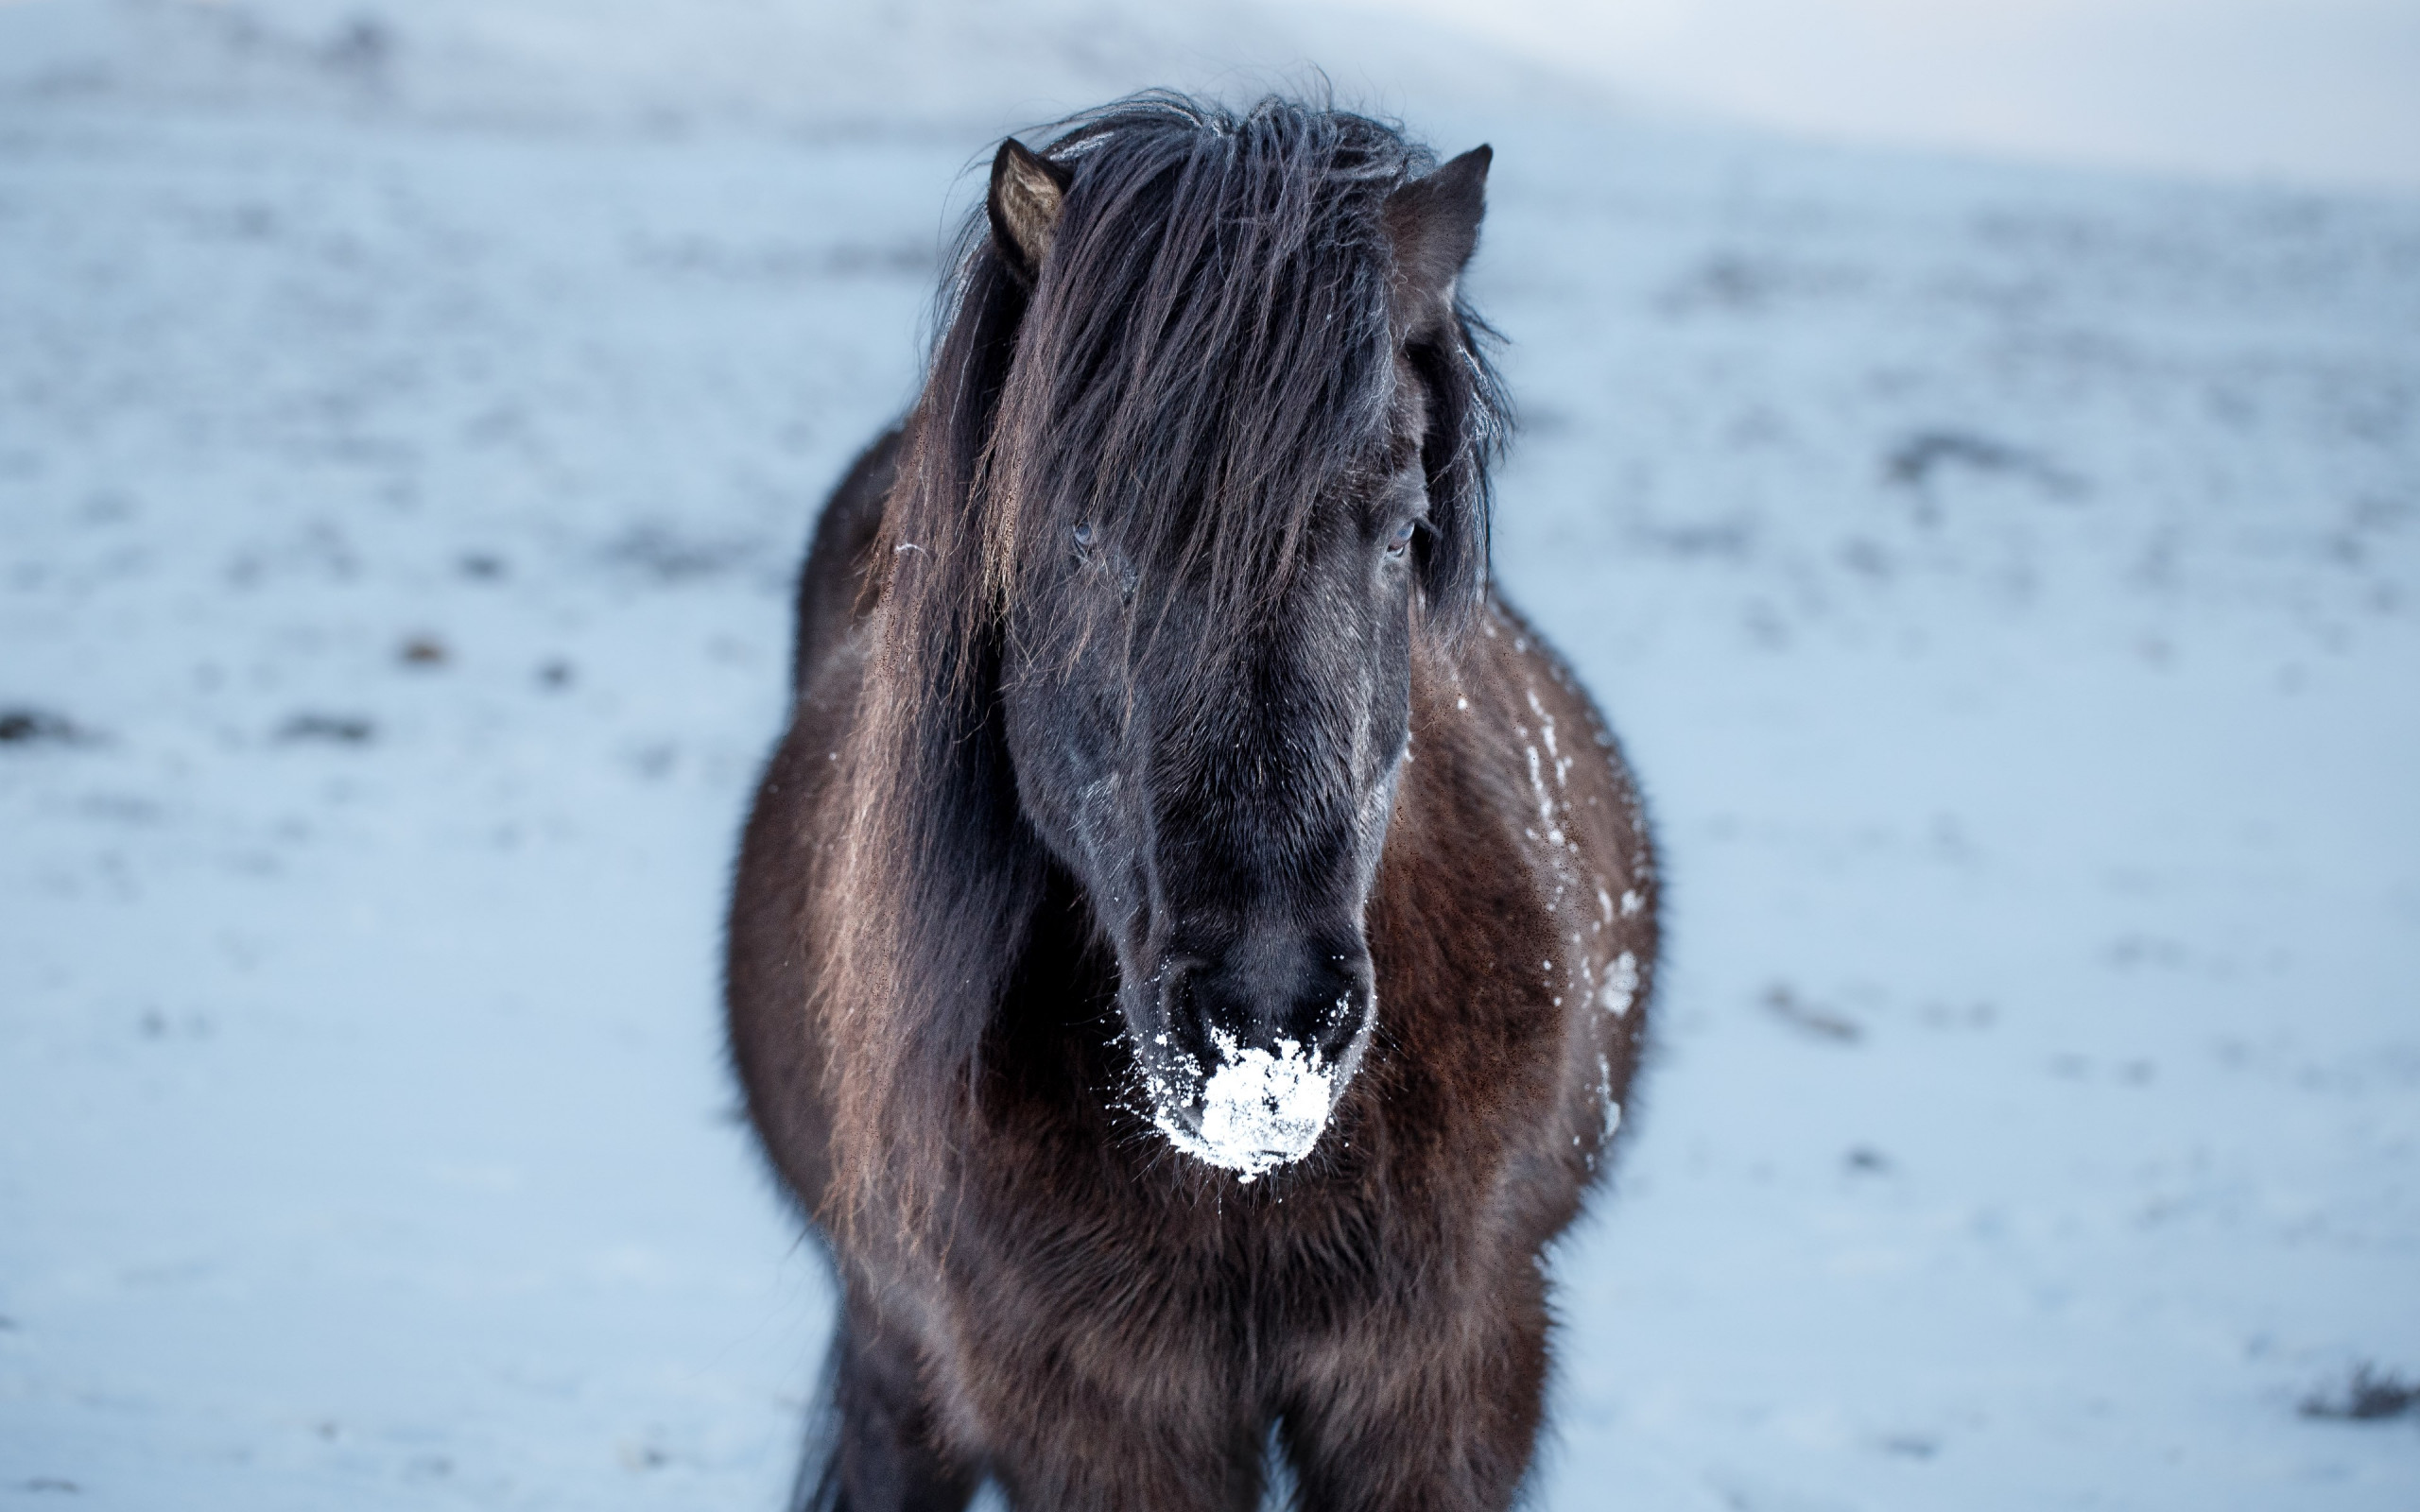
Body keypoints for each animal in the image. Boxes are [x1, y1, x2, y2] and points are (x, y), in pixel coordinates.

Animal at [726, 94, 1655, 1509]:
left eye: (1401, 529)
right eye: (1082, 537)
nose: (1265, 1024)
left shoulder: (1448, 1371)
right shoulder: (1095, 1407)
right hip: (896, 1346)